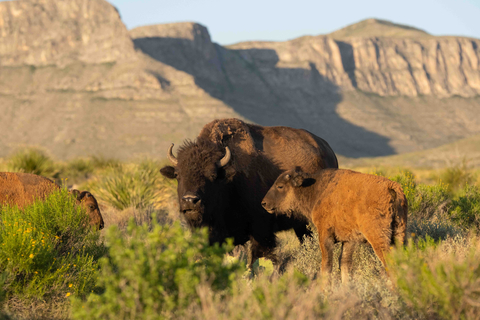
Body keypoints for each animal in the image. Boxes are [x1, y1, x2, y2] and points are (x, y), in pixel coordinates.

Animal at [160, 119, 338, 264]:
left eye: (212, 175)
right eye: (178, 175)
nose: (190, 201)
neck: (229, 182)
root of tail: (329, 151)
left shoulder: (261, 231)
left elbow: (258, 259)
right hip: (301, 224)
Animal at [260, 168, 406, 282]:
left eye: (280, 186)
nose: (264, 203)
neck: (316, 190)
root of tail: (391, 186)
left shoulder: (325, 236)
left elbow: (327, 265)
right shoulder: (349, 240)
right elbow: (345, 265)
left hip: (378, 237)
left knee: (389, 263)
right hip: (399, 234)